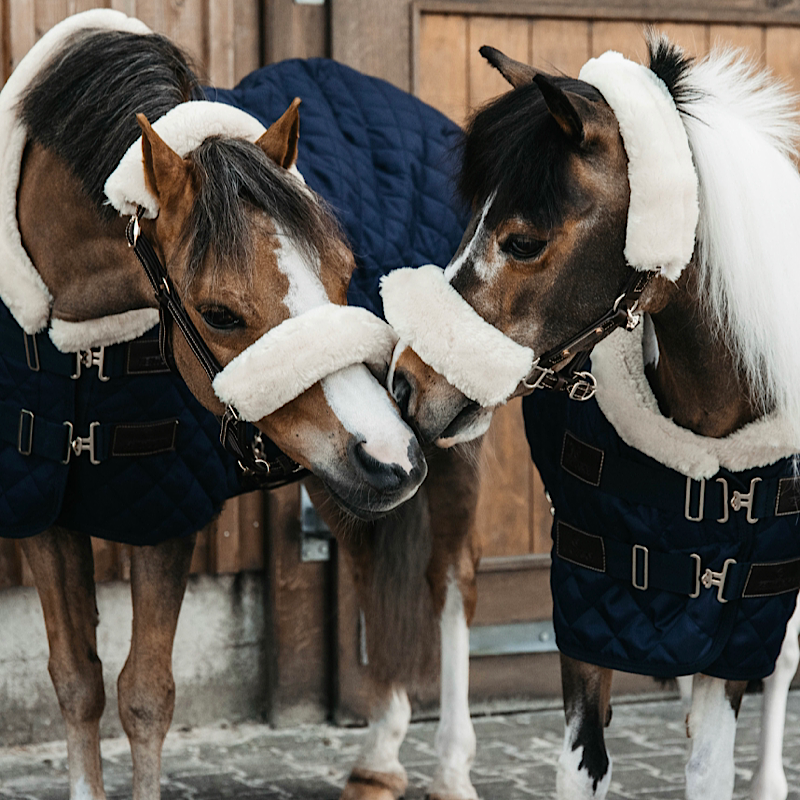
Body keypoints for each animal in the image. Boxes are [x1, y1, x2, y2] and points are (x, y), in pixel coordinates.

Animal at [3, 10, 485, 800]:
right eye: (220, 313)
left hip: (443, 442)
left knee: (452, 584)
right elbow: (75, 682)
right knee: (370, 565)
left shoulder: (165, 517)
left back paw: (449, 767)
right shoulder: (44, 515)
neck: (81, 340)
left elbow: (146, 694)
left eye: (346, 272)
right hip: (341, 472)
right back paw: (379, 756)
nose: (394, 459)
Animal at [380, 34, 800, 800]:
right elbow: (583, 763)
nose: (404, 382)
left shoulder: (744, 612)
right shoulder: (587, 606)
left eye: (522, 241)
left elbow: (713, 759)